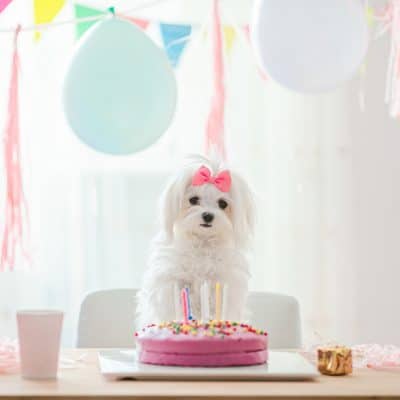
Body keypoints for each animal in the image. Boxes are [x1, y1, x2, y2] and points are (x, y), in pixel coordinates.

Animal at [136, 155, 255, 326]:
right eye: (193, 200)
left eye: (223, 203)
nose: (208, 216)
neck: (202, 242)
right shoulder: (174, 283)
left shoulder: (222, 284)